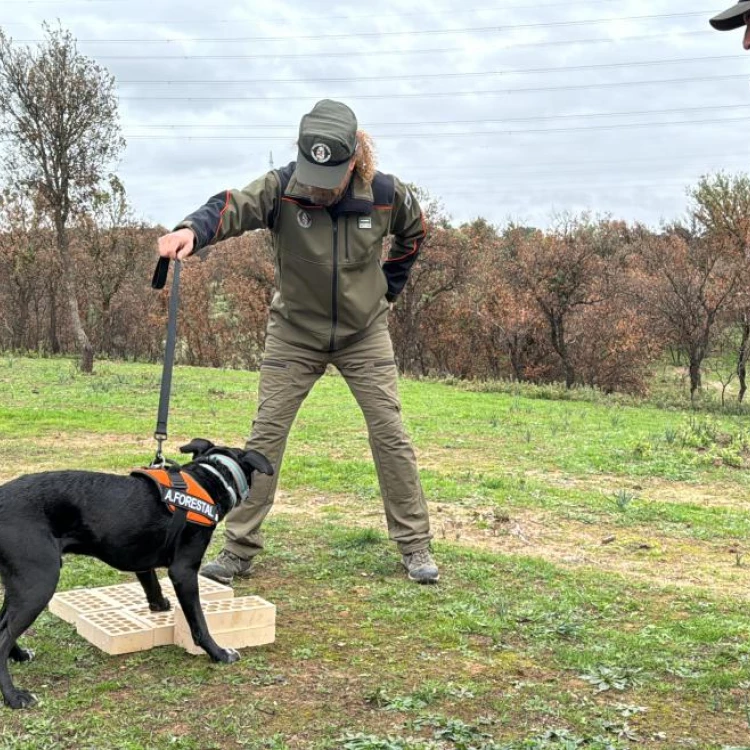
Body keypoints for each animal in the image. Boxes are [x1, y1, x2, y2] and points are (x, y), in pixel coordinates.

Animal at [0, 438, 274, 708]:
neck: (210, 476)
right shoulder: (184, 571)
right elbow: (199, 623)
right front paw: (219, 653)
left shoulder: (143, 562)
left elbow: (152, 584)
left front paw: (159, 606)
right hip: (39, 583)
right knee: (3, 637)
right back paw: (13, 697)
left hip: (18, 585)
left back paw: (20, 655)